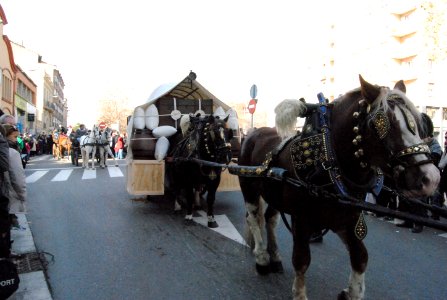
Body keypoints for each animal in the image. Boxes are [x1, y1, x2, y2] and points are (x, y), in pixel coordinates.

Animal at [240, 76, 440, 300]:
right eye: (382, 124)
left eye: (418, 126)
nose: (431, 178)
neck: (328, 160)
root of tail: (254, 133)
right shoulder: (302, 219)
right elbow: (301, 260)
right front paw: (299, 293)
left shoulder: (346, 219)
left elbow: (361, 256)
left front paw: (352, 292)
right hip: (248, 187)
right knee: (254, 218)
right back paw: (262, 258)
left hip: (273, 195)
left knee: (270, 220)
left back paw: (274, 257)